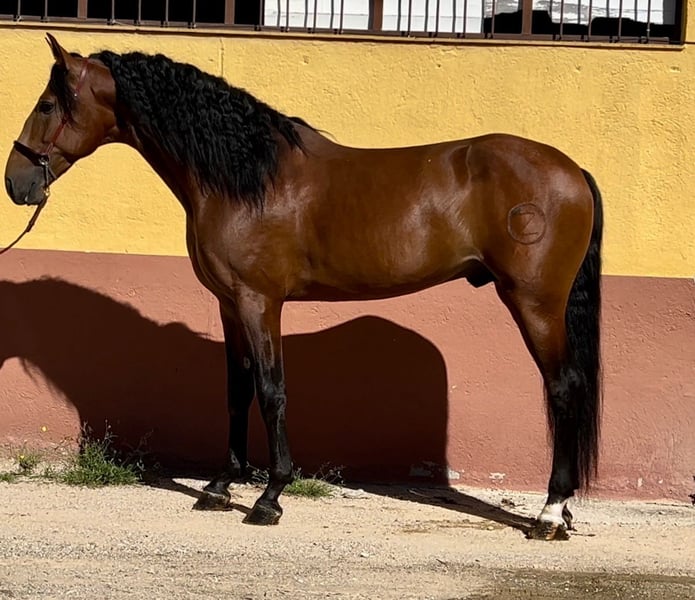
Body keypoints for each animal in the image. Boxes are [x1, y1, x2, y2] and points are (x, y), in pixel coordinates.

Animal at [4, 34, 602, 540]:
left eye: (48, 105)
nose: (16, 182)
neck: (245, 177)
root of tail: (572, 170)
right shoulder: (229, 305)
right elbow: (237, 390)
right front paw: (220, 485)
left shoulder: (259, 302)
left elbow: (272, 391)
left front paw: (269, 496)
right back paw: (563, 512)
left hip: (535, 302)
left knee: (563, 387)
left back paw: (550, 514)